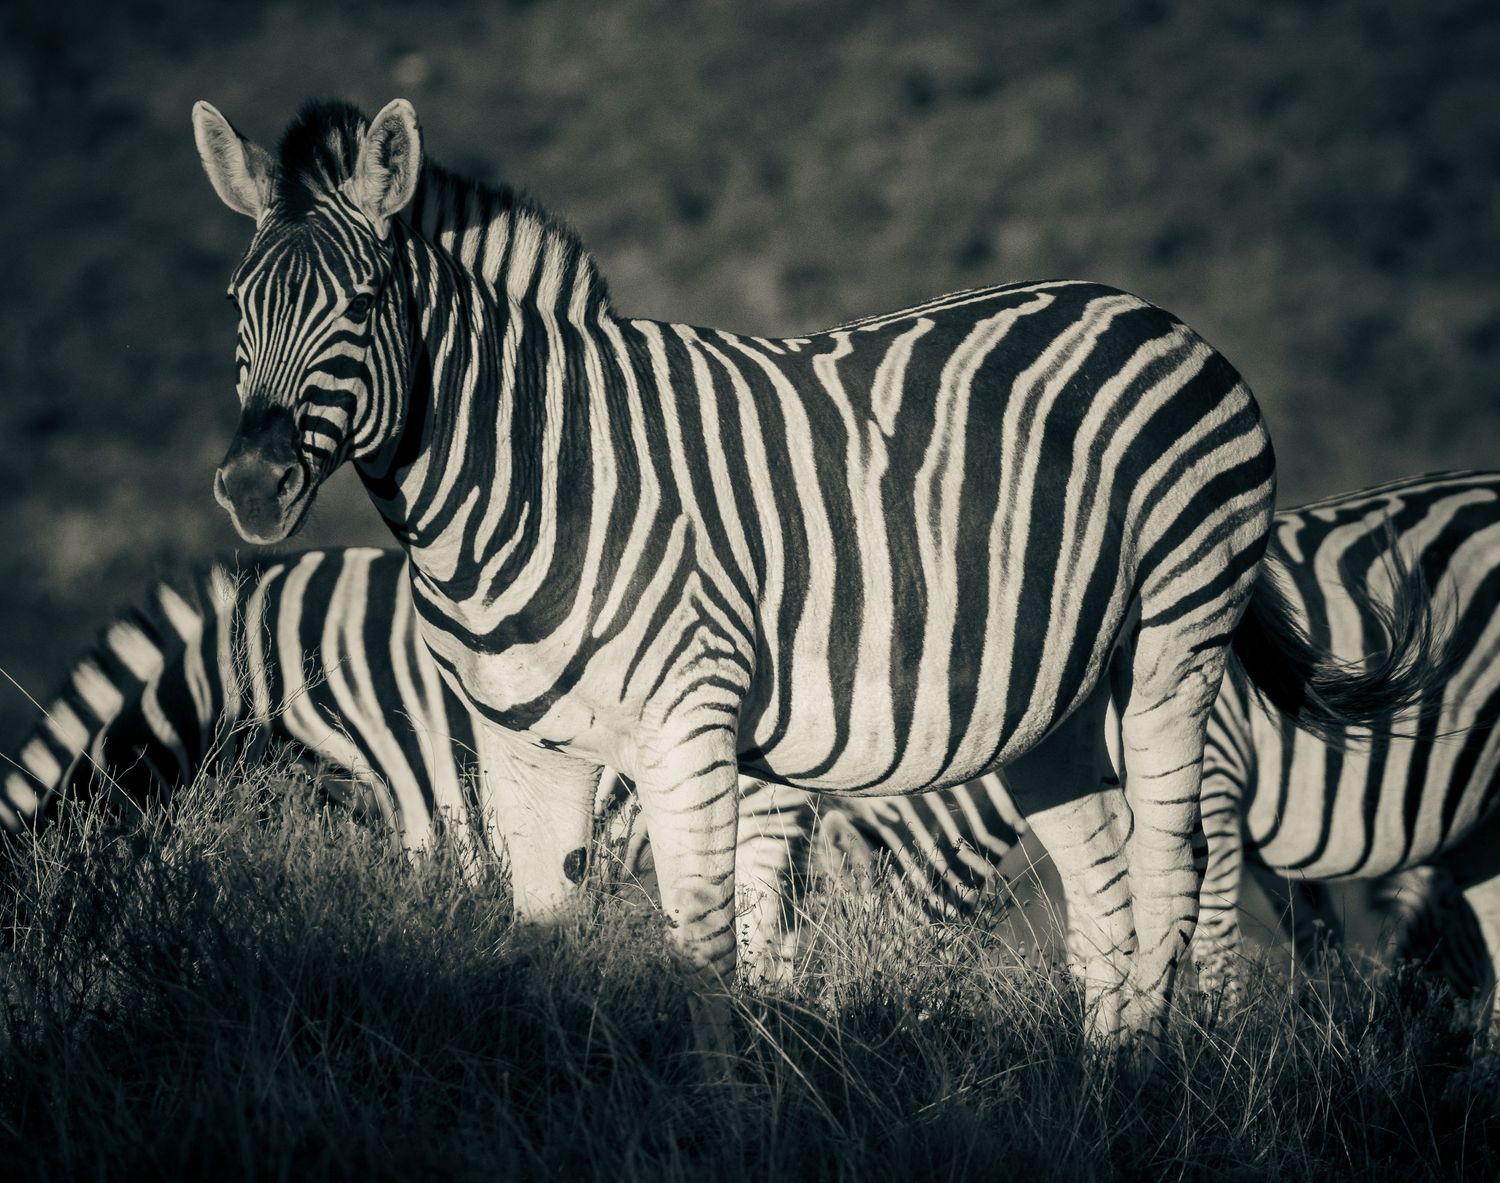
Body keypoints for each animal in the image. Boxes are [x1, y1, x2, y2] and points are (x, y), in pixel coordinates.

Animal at [189, 95, 1444, 1045]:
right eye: (236, 306)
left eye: (360, 306)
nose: (249, 488)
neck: (540, 473)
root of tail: (1159, 315)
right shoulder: (520, 744)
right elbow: (544, 934)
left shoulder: (689, 722)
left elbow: (706, 949)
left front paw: (708, 1105)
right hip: (1056, 695)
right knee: (1104, 888)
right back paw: (1096, 1082)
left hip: (1176, 632)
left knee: (1174, 859)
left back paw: (1147, 1086)